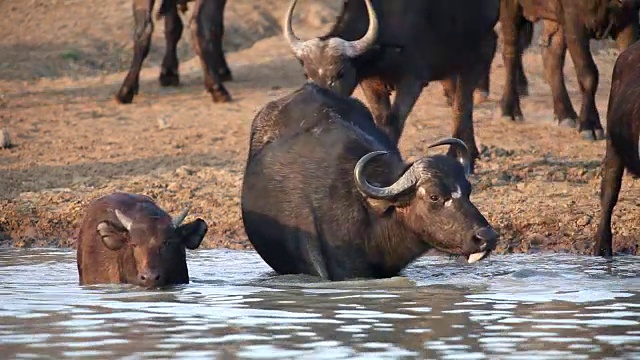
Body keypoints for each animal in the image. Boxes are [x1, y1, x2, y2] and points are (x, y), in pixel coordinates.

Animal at [284, 0, 500, 173]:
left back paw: (457, 155)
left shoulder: (412, 80)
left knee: (462, 104)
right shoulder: (371, 82)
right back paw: (471, 153)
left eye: (340, 73)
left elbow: (394, 122)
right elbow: (382, 120)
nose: (317, 99)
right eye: (307, 74)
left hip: (477, 51)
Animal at [500, 0, 640, 140]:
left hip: (555, 18)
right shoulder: (574, 21)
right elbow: (588, 74)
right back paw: (510, 111)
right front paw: (590, 125)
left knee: (551, 55)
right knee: (511, 52)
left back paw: (565, 115)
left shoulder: (629, 18)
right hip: (511, 8)